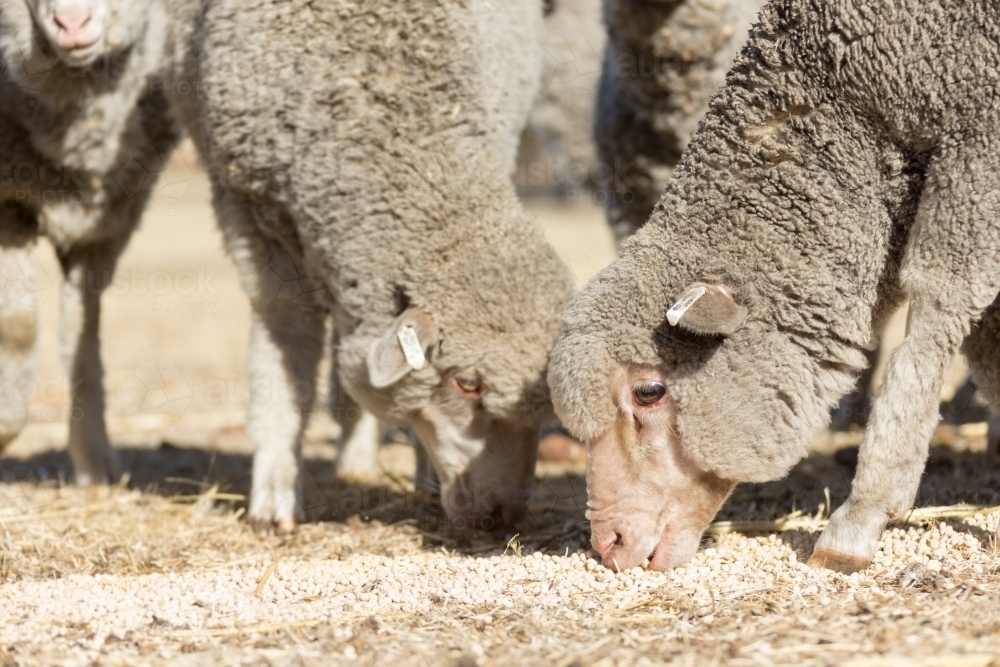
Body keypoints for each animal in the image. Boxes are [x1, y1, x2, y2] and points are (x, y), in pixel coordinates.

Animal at [0, 0, 178, 482]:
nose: (73, 23)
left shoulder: (106, 226)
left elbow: (80, 338)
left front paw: (94, 459)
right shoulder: (6, 205)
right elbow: (17, 325)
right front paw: (5, 422)